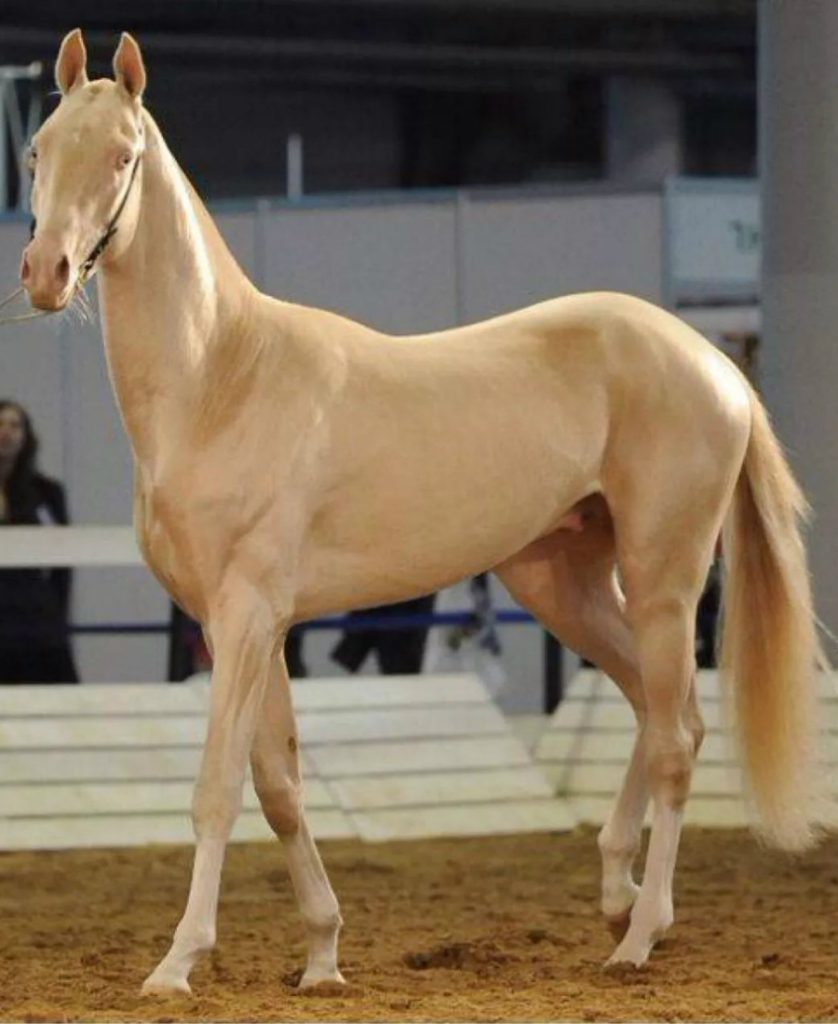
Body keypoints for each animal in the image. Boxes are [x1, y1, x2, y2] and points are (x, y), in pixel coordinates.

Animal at [18, 28, 824, 996]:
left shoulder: (247, 617)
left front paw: (178, 964)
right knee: (650, 705)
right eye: (38, 151)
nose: (46, 274)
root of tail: (714, 363)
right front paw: (323, 955)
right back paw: (616, 892)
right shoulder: (244, 626)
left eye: (121, 156)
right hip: (562, 581)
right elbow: (281, 786)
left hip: (663, 581)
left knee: (676, 735)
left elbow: (218, 788)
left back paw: (638, 935)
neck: (222, 378)